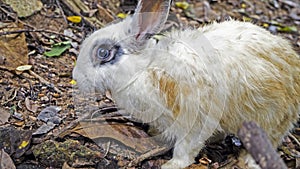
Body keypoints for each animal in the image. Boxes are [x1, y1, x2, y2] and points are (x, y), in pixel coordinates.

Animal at [72, 0, 300, 168]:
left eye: (103, 53)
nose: (76, 76)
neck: (144, 69)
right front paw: (154, 136)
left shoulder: (195, 121)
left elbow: (186, 149)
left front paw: (171, 165)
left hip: (271, 120)